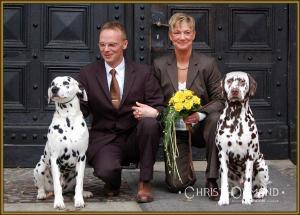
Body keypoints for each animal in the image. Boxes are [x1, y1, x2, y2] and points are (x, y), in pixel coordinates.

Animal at [33, 76, 92, 209]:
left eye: (66, 82)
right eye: (52, 83)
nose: (54, 89)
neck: (68, 119)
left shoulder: (82, 157)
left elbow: (79, 184)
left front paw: (79, 200)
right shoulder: (55, 158)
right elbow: (57, 186)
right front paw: (59, 202)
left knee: (75, 186)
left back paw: (85, 193)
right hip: (40, 167)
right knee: (41, 186)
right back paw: (41, 194)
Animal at [216, 72, 270, 205]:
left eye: (242, 81)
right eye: (229, 81)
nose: (235, 90)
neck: (236, 118)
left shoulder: (250, 155)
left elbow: (248, 179)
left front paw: (247, 198)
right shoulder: (222, 154)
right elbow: (224, 181)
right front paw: (223, 198)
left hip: (261, 164)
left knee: (263, 186)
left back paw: (259, 192)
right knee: (233, 186)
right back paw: (232, 192)